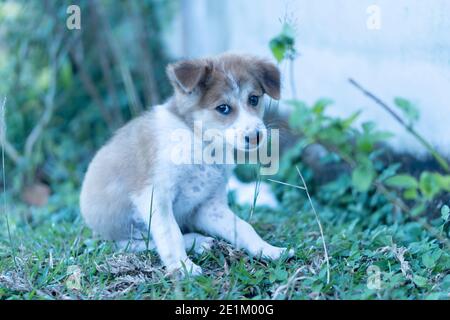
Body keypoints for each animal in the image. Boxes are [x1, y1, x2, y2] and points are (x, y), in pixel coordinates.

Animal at [80, 53, 292, 276]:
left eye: (253, 99)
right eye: (223, 108)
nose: (255, 137)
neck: (200, 143)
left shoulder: (208, 205)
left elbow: (243, 227)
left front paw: (268, 250)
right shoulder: (154, 196)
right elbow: (171, 235)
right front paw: (184, 267)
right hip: (123, 232)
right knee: (140, 243)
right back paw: (196, 242)